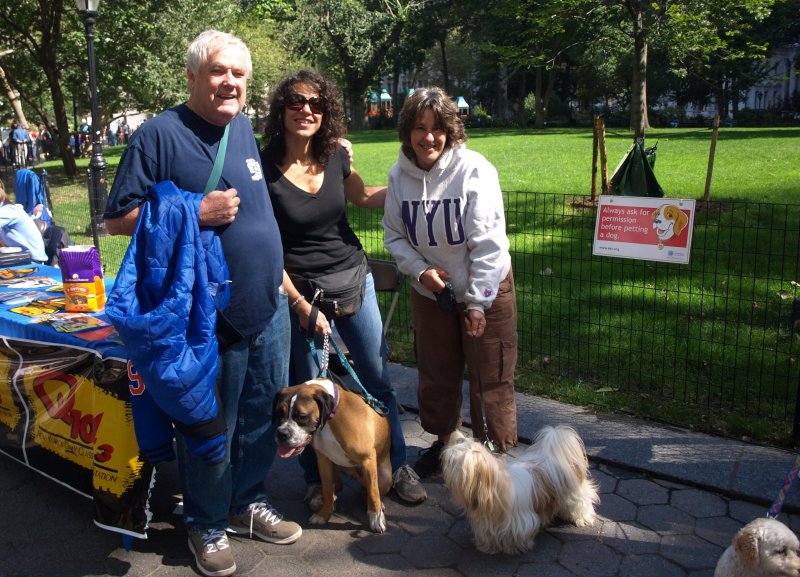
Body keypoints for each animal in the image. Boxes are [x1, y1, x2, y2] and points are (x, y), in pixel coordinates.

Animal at [274, 378, 392, 532]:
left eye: (302, 417)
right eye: (279, 413)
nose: (281, 434)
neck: (331, 417)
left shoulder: (367, 459)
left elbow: (373, 492)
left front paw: (376, 518)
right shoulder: (323, 460)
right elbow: (327, 490)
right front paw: (324, 514)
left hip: (385, 478)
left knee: (368, 491)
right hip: (335, 467)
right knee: (339, 486)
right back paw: (319, 498)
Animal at [438, 424, 600, 552]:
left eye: (452, 461)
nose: (443, 460)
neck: (493, 489)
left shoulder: (520, 521)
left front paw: (514, 547)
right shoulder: (487, 522)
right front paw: (487, 546)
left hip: (574, 493)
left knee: (581, 502)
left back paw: (581, 518)